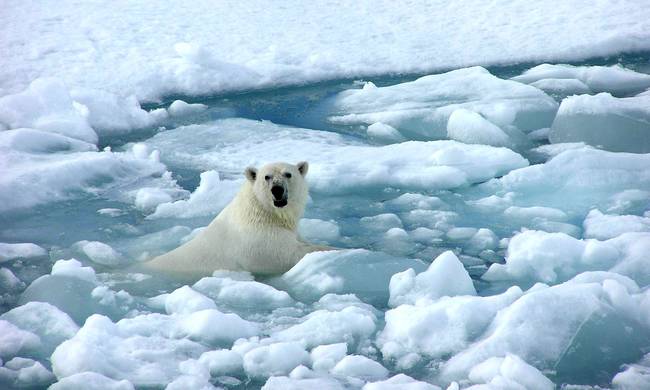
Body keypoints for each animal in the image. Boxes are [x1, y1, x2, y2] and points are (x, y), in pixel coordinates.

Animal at [144, 161, 332, 278]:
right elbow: (288, 255)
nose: (277, 190)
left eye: (288, 174)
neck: (263, 214)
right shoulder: (258, 242)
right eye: (267, 177)